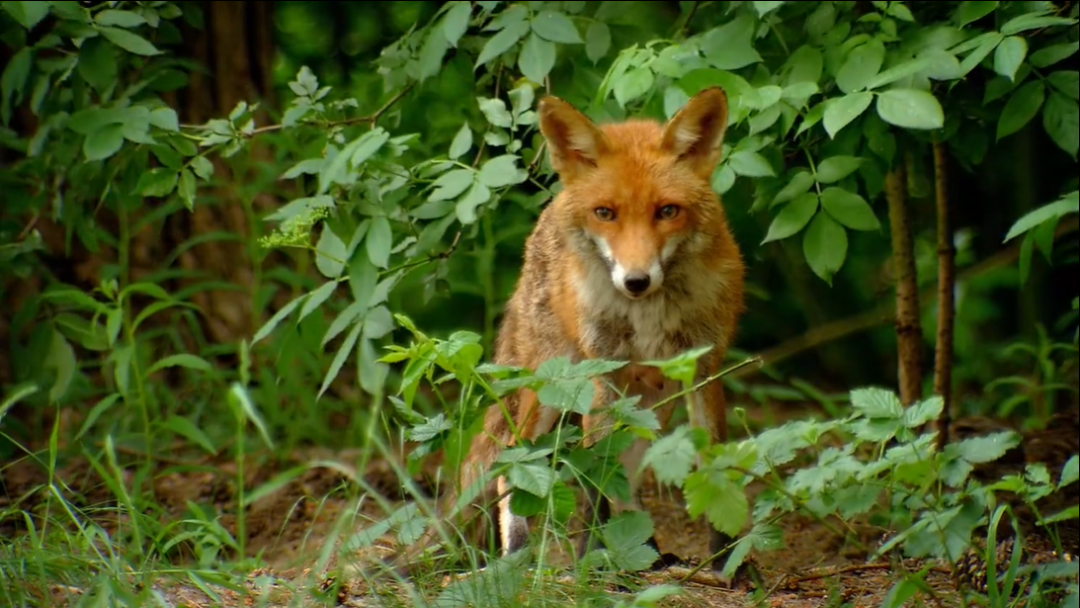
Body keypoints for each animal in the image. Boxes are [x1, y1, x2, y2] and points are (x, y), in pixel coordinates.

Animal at [395, 85, 743, 578]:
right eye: (605, 213)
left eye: (667, 211)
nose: (636, 281)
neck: (647, 315)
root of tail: (546, 216)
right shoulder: (602, 375)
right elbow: (594, 477)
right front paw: (589, 558)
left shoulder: (702, 370)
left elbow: (712, 466)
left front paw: (729, 563)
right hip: (549, 389)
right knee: (512, 462)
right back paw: (517, 556)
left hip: (649, 401)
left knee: (627, 477)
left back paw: (647, 551)